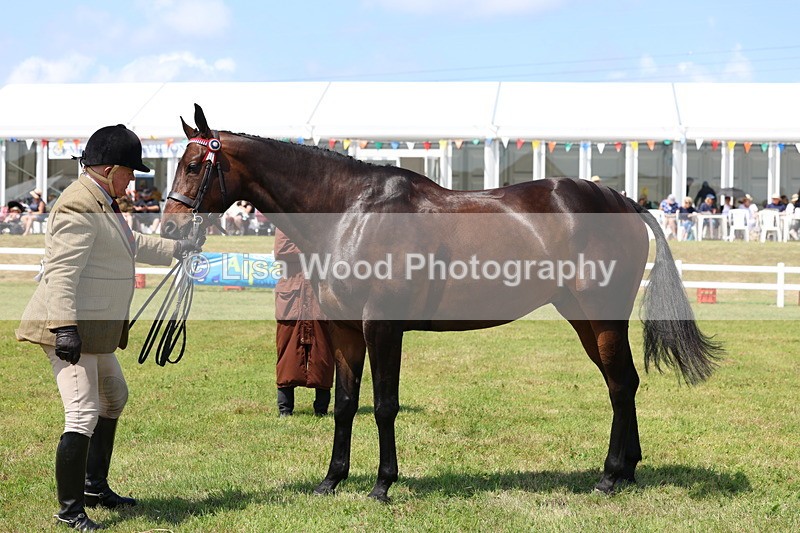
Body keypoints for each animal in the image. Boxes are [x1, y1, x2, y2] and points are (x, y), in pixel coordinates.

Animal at [162, 104, 721, 501]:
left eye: (192, 165)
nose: (168, 227)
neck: (351, 211)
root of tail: (624, 201)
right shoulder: (344, 330)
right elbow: (345, 404)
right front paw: (331, 480)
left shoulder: (382, 327)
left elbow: (384, 404)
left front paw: (382, 484)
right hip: (582, 318)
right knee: (621, 382)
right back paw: (627, 470)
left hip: (601, 315)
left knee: (621, 383)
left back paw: (609, 475)